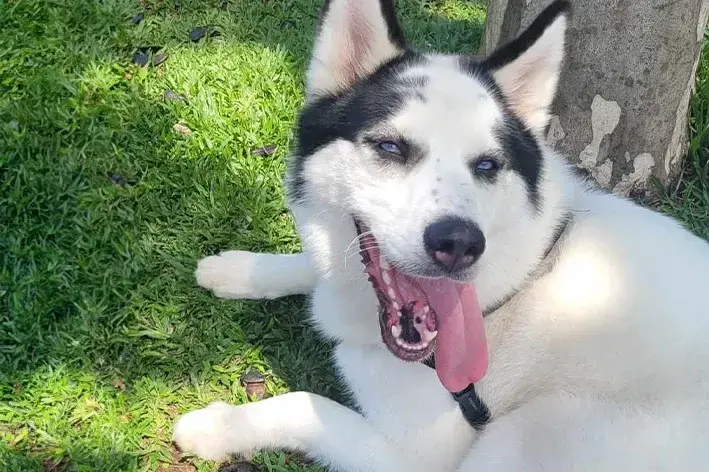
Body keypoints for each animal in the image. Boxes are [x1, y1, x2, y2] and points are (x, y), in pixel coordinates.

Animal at [174, 0, 708, 468]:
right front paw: (238, 268)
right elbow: (309, 265)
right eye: (391, 147)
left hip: (515, 440)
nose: (460, 244)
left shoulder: (415, 458)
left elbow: (305, 403)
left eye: (487, 165)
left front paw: (218, 426)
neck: (520, 279)